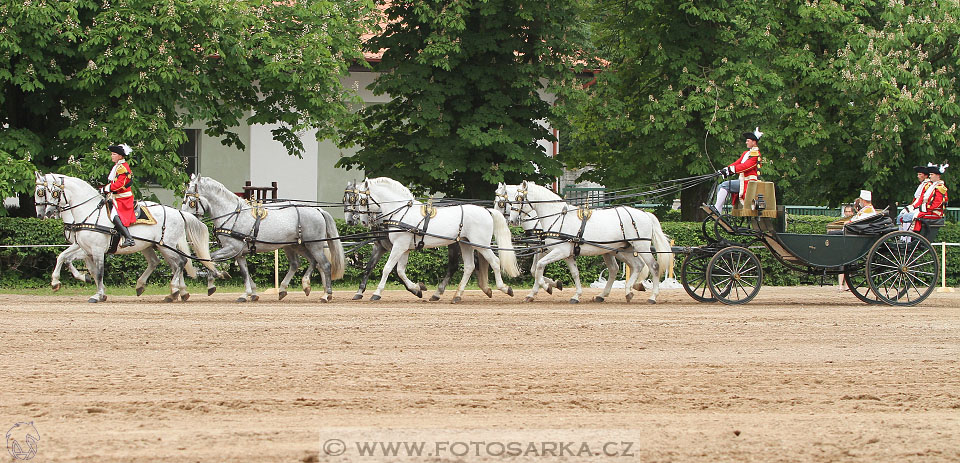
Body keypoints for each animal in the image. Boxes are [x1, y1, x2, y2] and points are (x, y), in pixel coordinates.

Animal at [41, 174, 218, 304]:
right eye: (44, 192)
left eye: (54, 192)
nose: (47, 212)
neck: (89, 214)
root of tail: (179, 213)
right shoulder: (84, 248)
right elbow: (64, 258)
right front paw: (58, 282)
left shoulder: (97, 250)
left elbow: (98, 272)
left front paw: (97, 295)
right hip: (154, 246)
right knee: (163, 263)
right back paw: (162, 290)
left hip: (166, 245)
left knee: (180, 262)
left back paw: (174, 290)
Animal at [181, 176, 344, 302]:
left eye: (190, 200)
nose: (182, 216)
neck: (232, 214)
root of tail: (317, 209)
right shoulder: (239, 253)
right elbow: (244, 272)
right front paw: (249, 293)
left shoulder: (231, 248)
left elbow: (209, 259)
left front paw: (215, 280)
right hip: (296, 246)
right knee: (305, 263)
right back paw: (295, 288)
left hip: (313, 245)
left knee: (324, 264)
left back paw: (325, 294)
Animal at [354, 176, 516, 302]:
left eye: (362, 200)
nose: (363, 221)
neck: (402, 212)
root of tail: (486, 210)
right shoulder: (404, 248)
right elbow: (400, 271)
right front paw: (417, 289)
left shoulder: (399, 246)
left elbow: (387, 268)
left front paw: (377, 293)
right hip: (466, 244)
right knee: (469, 267)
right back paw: (457, 296)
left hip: (480, 244)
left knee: (495, 262)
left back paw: (505, 288)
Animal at [506, 181, 672, 304]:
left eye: (519, 198)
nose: (512, 220)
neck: (558, 217)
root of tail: (645, 214)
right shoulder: (567, 254)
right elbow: (575, 273)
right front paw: (575, 295)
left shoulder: (560, 251)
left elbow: (539, 267)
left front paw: (546, 286)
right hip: (623, 249)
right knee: (634, 266)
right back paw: (623, 292)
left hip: (641, 246)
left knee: (653, 266)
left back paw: (652, 296)